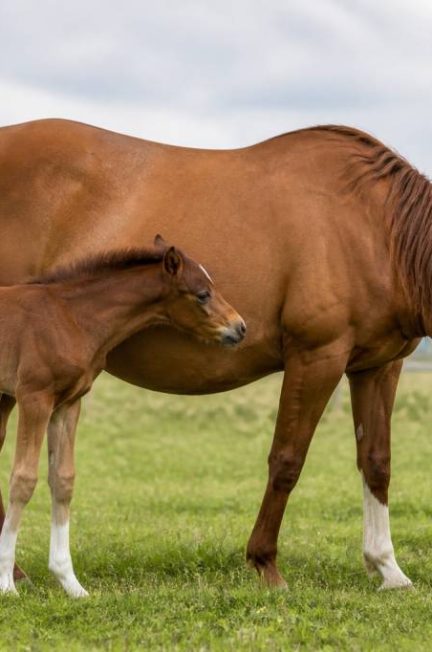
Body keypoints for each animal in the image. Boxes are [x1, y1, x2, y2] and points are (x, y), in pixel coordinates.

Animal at [0, 237, 245, 597]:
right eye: (202, 294)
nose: (240, 327)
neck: (71, 317)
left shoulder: (68, 403)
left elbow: (63, 480)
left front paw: (70, 583)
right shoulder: (34, 397)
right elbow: (23, 480)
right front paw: (6, 584)